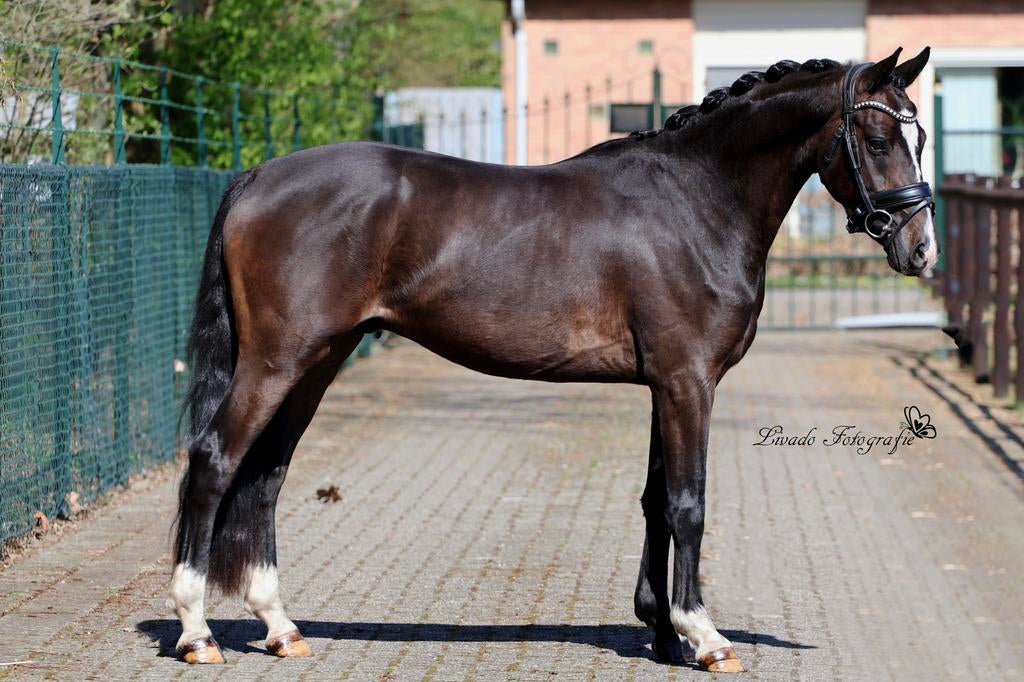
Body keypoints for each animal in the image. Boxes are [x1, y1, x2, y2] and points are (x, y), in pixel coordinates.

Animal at [168, 47, 936, 672]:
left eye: (919, 133)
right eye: (876, 138)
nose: (921, 249)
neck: (696, 201)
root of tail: (257, 177)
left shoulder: (664, 384)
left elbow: (656, 501)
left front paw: (661, 632)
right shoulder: (688, 382)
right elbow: (688, 504)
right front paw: (704, 636)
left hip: (318, 361)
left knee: (265, 475)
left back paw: (280, 626)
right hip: (277, 361)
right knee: (215, 461)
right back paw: (197, 632)